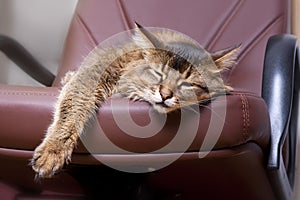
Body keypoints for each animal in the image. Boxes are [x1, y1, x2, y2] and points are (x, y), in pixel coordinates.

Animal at [31, 22, 241, 178]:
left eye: (187, 84)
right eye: (158, 74)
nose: (165, 94)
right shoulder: (95, 74)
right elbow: (73, 108)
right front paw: (53, 150)